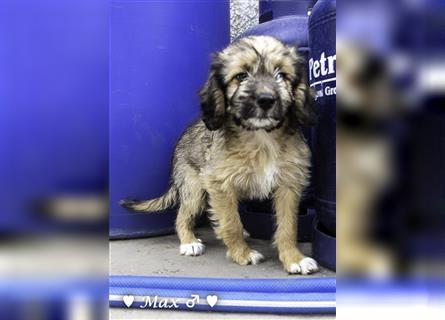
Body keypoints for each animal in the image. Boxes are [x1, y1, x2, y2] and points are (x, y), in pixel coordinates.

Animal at [119, 35, 318, 276]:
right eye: (241, 76)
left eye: (281, 75)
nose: (266, 99)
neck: (261, 137)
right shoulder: (220, 184)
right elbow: (231, 222)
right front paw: (242, 254)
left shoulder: (289, 184)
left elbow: (288, 226)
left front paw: (294, 258)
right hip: (194, 189)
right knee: (182, 215)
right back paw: (189, 242)